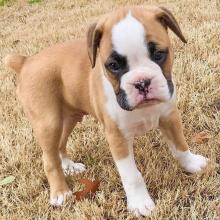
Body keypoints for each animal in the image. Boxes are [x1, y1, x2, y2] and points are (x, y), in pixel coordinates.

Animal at [5, 6, 208, 217]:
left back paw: (69, 166)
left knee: (60, 145)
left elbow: (180, 147)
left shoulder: (169, 117)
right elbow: (131, 175)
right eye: (113, 65)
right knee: (48, 158)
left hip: (69, 119)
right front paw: (140, 203)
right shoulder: (117, 137)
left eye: (159, 54)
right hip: (49, 124)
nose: (142, 83)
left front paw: (192, 164)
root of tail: (26, 61)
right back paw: (60, 192)